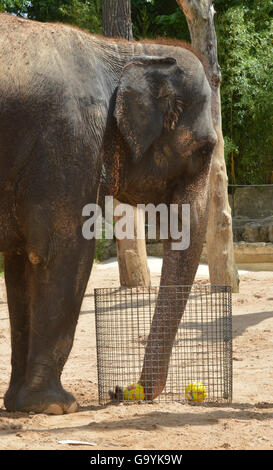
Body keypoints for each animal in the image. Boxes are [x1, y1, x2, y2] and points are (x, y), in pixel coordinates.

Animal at [0, 12, 217, 414]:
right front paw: (57, 406)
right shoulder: (70, 141)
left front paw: (20, 404)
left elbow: (21, 264)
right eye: (204, 150)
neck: (122, 51)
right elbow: (64, 251)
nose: (122, 391)